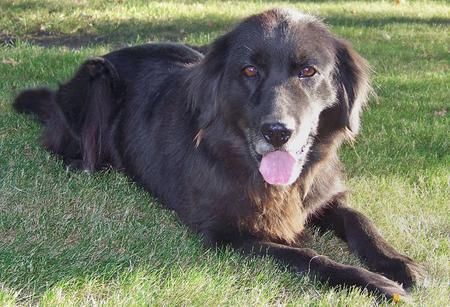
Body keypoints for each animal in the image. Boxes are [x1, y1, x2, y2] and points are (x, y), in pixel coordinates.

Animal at [13, 8, 422, 302]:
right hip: (97, 76)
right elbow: (307, 257)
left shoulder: (322, 197)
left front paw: (398, 262)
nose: (277, 132)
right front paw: (372, 281)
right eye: (249, 70)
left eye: (309, 71)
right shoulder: (229, 234)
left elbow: (359, 220)